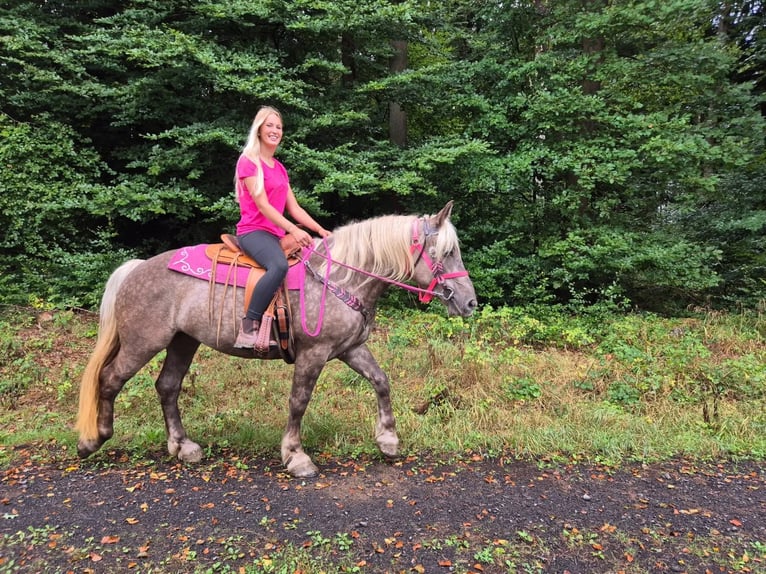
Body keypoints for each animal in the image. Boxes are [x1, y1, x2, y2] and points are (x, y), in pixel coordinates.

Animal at [75, 201, 477, 477]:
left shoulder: (349, 348)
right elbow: (299, 401)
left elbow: (381, 381)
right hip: (143, 342)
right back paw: (93, 439)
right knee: (109, 380)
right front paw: (296, 456)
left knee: (168, 386)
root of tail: (135, 269)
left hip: (182, 341)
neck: (341, 278)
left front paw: (389, 440)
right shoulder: (314, 353)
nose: (470, 302)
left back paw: (183, 446)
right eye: (446, 252)